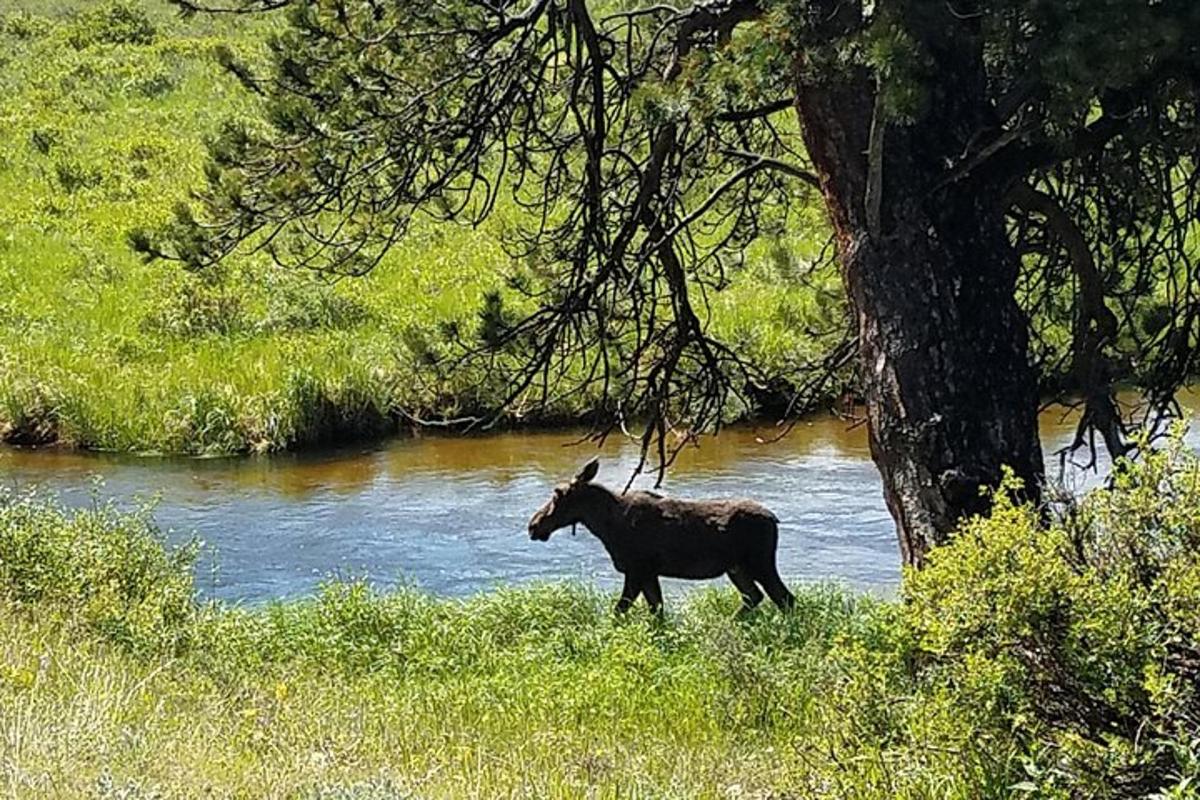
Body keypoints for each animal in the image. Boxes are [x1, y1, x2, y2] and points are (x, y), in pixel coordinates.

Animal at [528, 455, 796, 614]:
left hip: (760, 563)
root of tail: (774, 519)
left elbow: (619, 611)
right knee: (755, 597)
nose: (533, 525)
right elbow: (656, 611)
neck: (605, 526)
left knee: (784, 598)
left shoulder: (637, 570)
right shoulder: (648, 573)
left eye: (557, 494)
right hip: (736, 568)